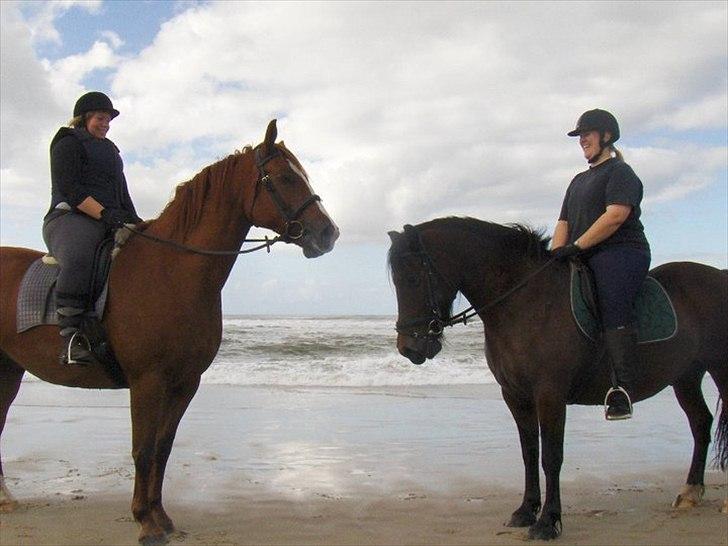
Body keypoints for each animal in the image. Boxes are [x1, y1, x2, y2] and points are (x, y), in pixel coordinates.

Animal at [0, 120, 340, 544]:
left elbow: (163, 448)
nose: (329, 233)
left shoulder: (184, 382)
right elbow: (143, 449)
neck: (171, 270)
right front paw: (145, 523)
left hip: (7, 371)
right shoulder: (148, 380)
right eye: (284, 178)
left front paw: (161, 517)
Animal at [390, 218, 728, 540]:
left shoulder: (550, 394)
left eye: (413, 278)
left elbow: (551, 457)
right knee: (700, 423)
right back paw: (690, 492)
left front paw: (548, 522)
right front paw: (526, 511)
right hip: (685, 376)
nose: (410, 348)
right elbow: (529, 454)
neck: (525, 302)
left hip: (719, 368)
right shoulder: (515, 396)